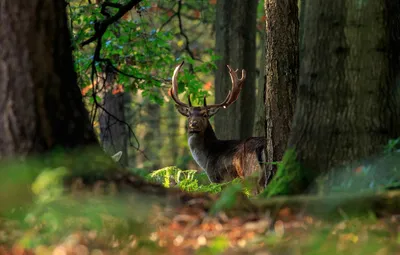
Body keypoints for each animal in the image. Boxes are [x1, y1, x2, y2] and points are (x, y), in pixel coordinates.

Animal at [169, 62, 268, 193]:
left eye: (205, 114)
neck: (207, 158)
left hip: (251, 175)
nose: (193, 124)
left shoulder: (219, 179)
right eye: (189, 114)